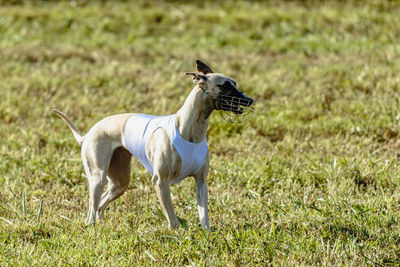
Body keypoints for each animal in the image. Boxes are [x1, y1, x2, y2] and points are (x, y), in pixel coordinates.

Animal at [53, 60, 255, 230]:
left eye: (235, 83)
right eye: (225, 85)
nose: (250, 100)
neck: (190, 131)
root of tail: (87, 134)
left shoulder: (201, 181)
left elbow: (203, 213)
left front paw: (207, 233)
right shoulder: (160, 181)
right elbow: (172, 218)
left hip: (119, 182)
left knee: (101, 205)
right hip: (97, 177)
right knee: (92, 209)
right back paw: (92, 226)